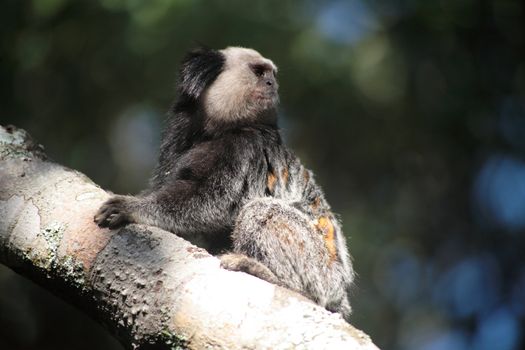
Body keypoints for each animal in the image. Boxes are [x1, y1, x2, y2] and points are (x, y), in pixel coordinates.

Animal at [94, 45, 356, 320]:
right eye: (259, 72)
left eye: (272, 75)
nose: (272, 84)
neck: (217, 131)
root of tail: (341, 292)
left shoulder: (242, 149)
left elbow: (211, 203)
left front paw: (132, 208)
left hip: (321, 270)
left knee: (261, 211)